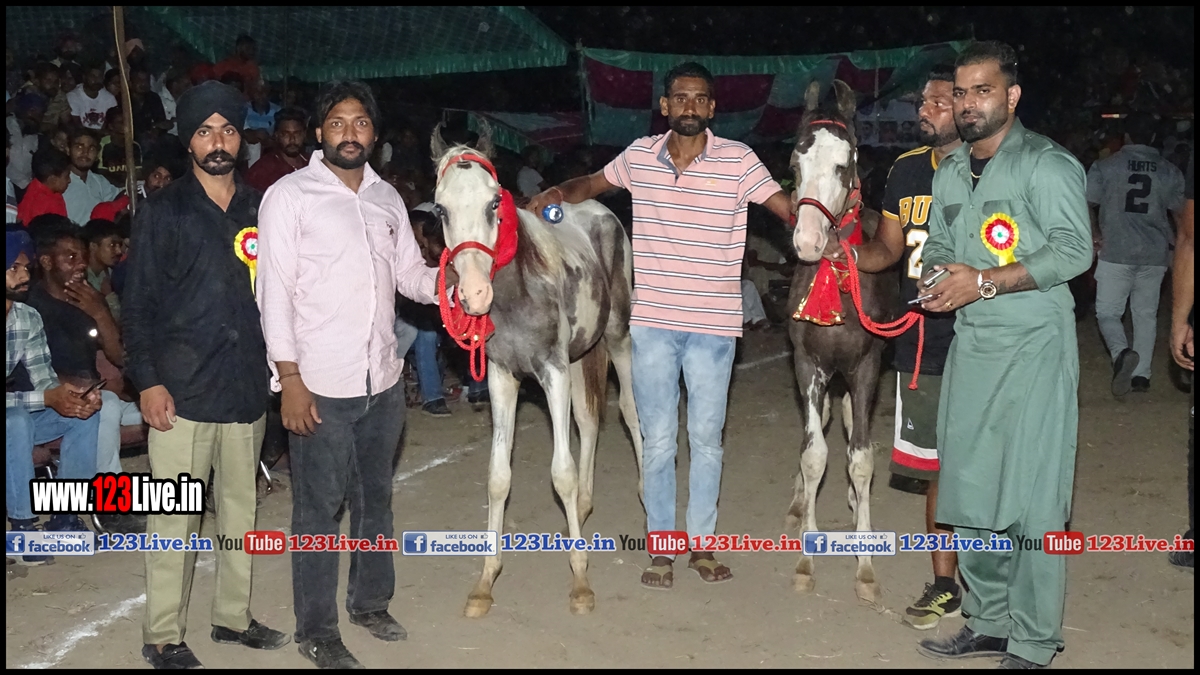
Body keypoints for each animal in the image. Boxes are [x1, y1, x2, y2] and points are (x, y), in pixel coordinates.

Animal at [430, 125, 643, 618]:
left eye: (494, 201)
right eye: (440, 208)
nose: (473, 293)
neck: (518, 293)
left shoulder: (553, 371)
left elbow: (561, 471)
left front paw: (581, 581)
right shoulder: (502, 378)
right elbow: (497, 477)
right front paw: (485, 581)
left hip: (617, 338)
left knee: (628, 410)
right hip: (584, 352)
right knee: (588, 420)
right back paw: (582, 508)